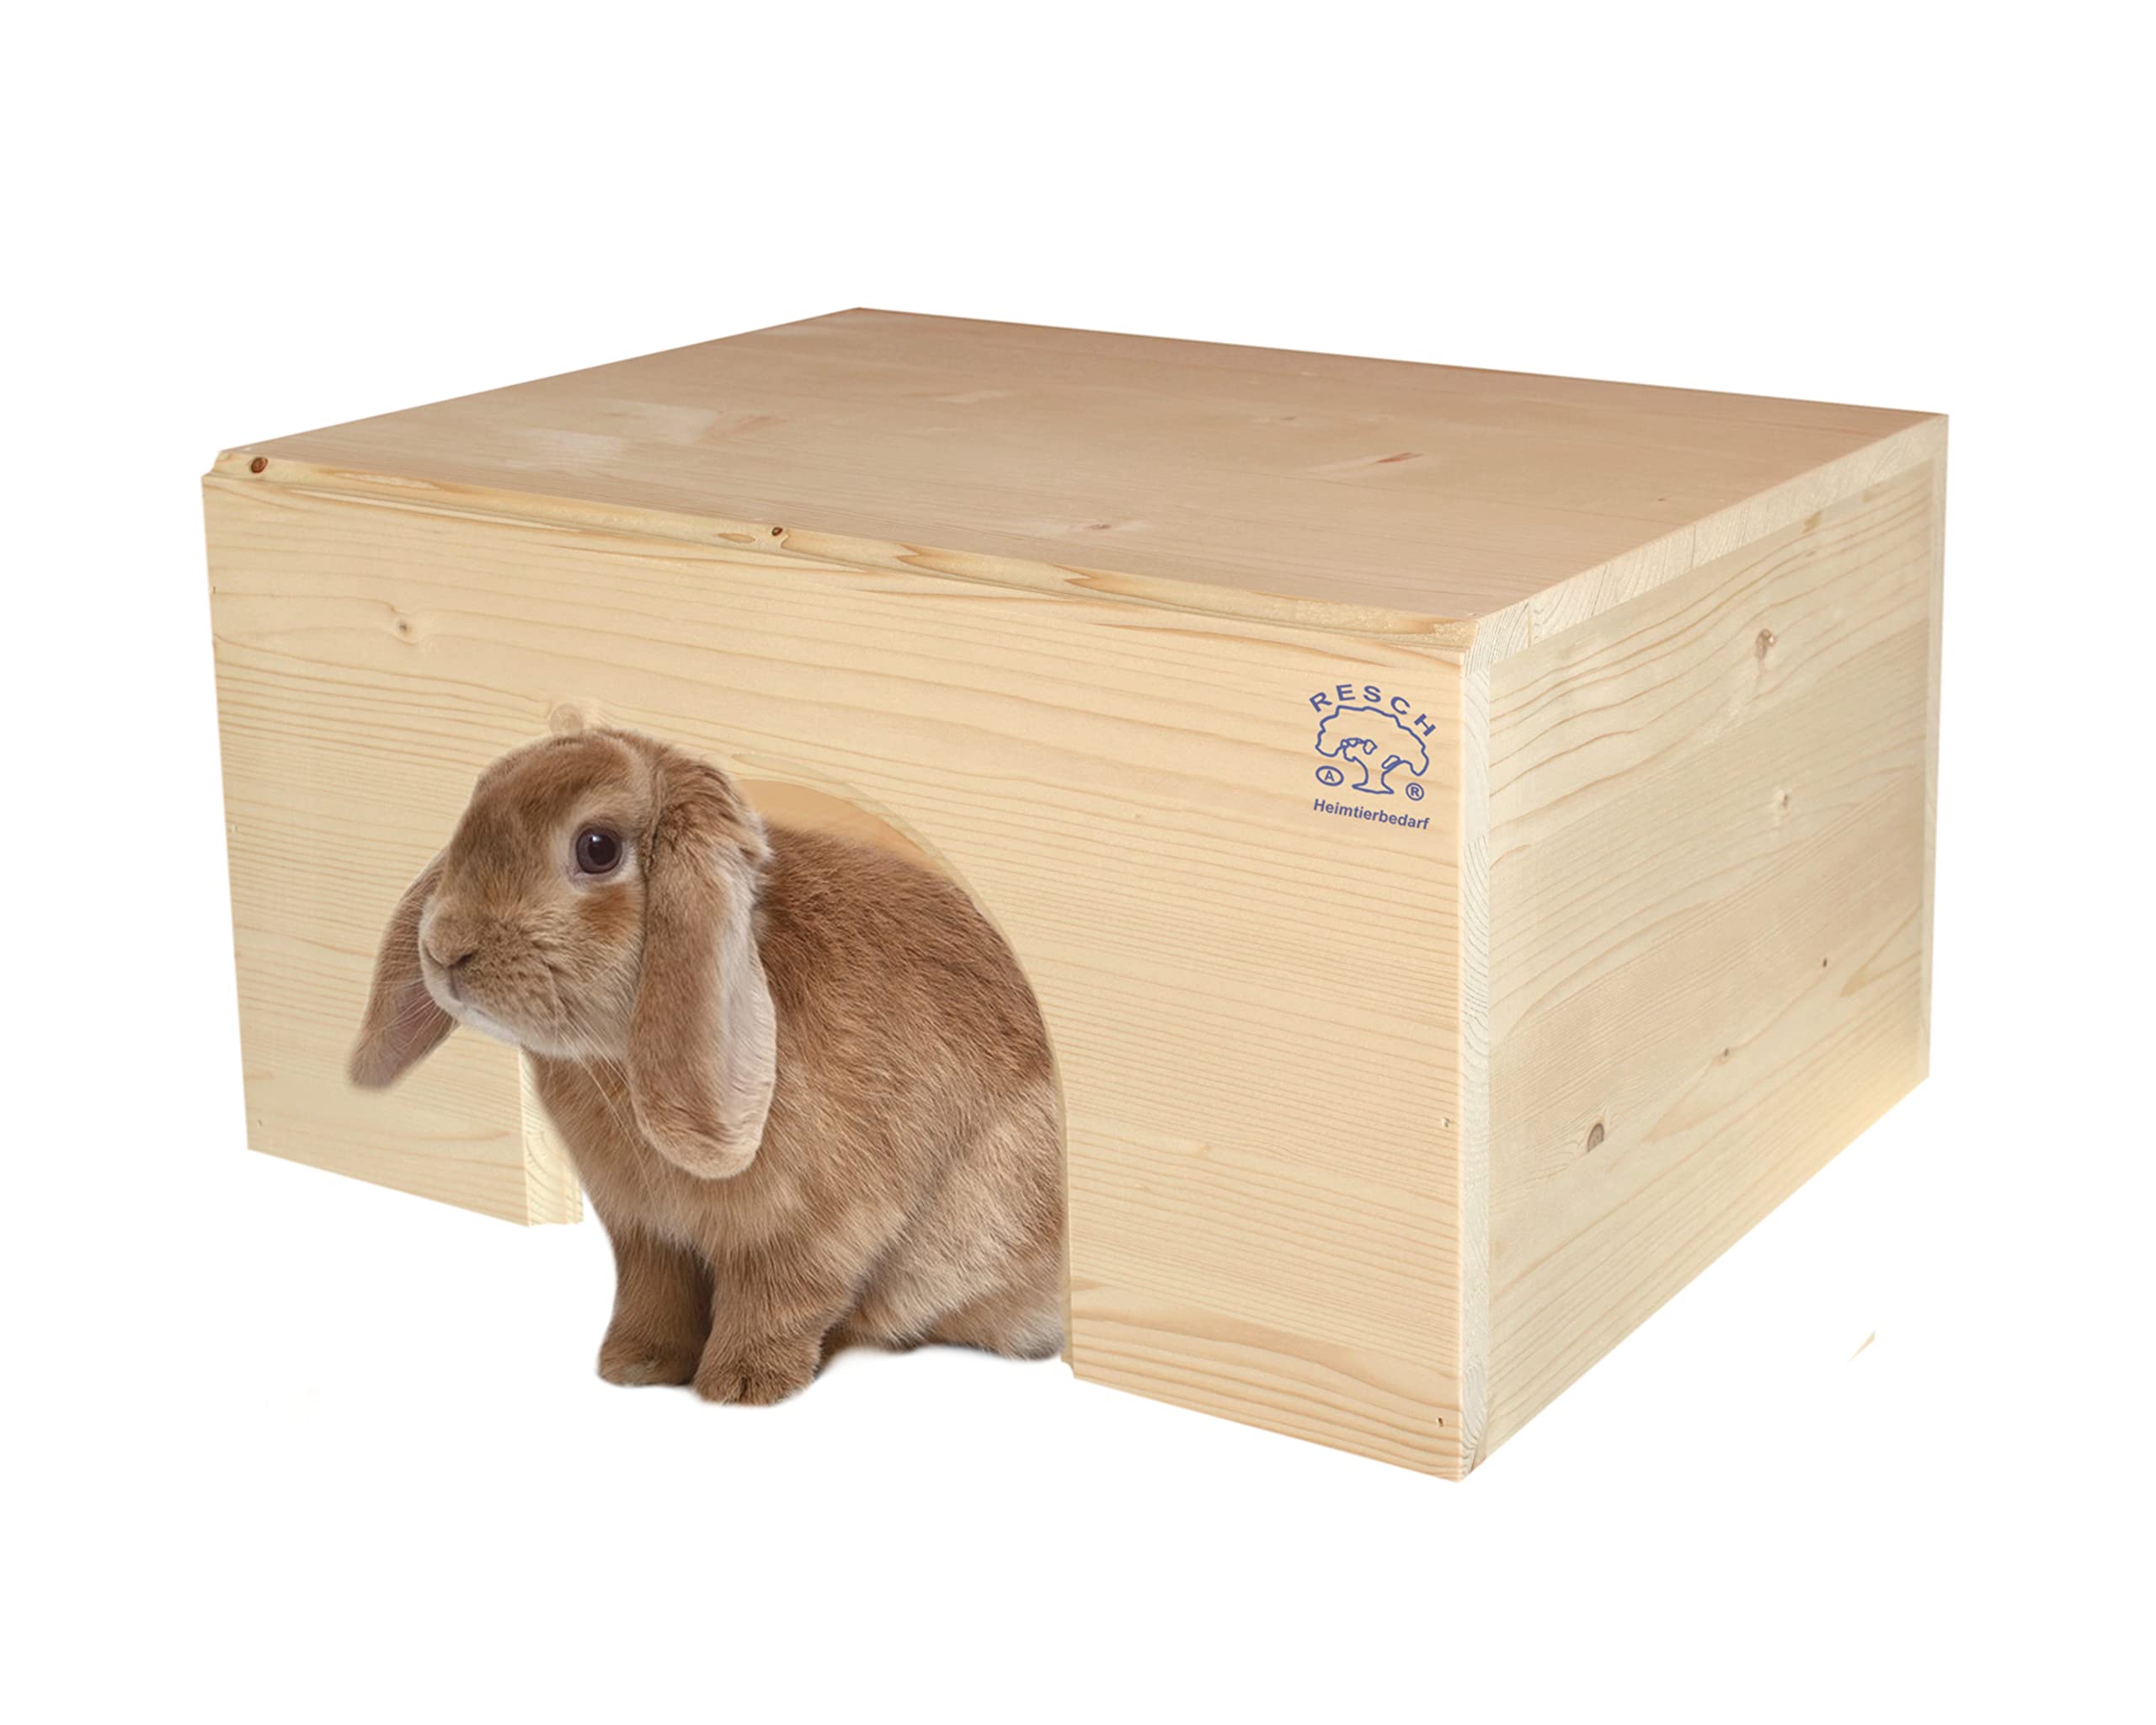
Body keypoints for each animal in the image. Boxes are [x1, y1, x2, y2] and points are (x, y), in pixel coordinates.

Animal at [348, 723, 1064, 1404]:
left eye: (597, 848)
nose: (445, 949)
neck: (616, 1060)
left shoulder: (809, 1230)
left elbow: (778, 1301)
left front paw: (742, 1386)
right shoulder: (646, 1235)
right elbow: (653, 1296)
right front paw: (634, 1367)